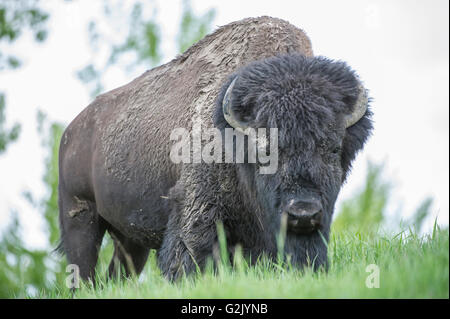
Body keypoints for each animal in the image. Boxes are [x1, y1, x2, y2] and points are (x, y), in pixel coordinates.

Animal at [57, 16, 372, 282]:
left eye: (334, 149)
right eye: (264, 151)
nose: (303, 213)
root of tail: (70, 132)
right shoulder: (196, 214)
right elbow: (189, 258)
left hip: (129, 238)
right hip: (80, 218)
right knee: (82, 272)